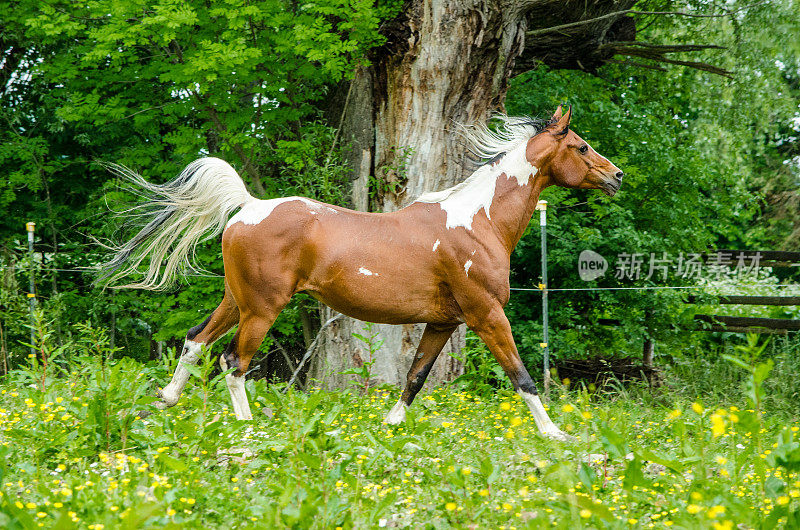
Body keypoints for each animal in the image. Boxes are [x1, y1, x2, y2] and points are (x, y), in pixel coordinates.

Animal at [101, 105, 624, 440]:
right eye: (581, 146)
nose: (617, 176)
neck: (480, 220)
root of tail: (248, 206)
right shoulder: (486, 314)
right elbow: (521, 376)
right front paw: (555, 434)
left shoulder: (443, 323)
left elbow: (414, 378)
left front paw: (389, 428)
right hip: (263, 308)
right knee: (234, 362)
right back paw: (247, 428)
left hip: (237, 300)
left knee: (196, 340)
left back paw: (164, 402)